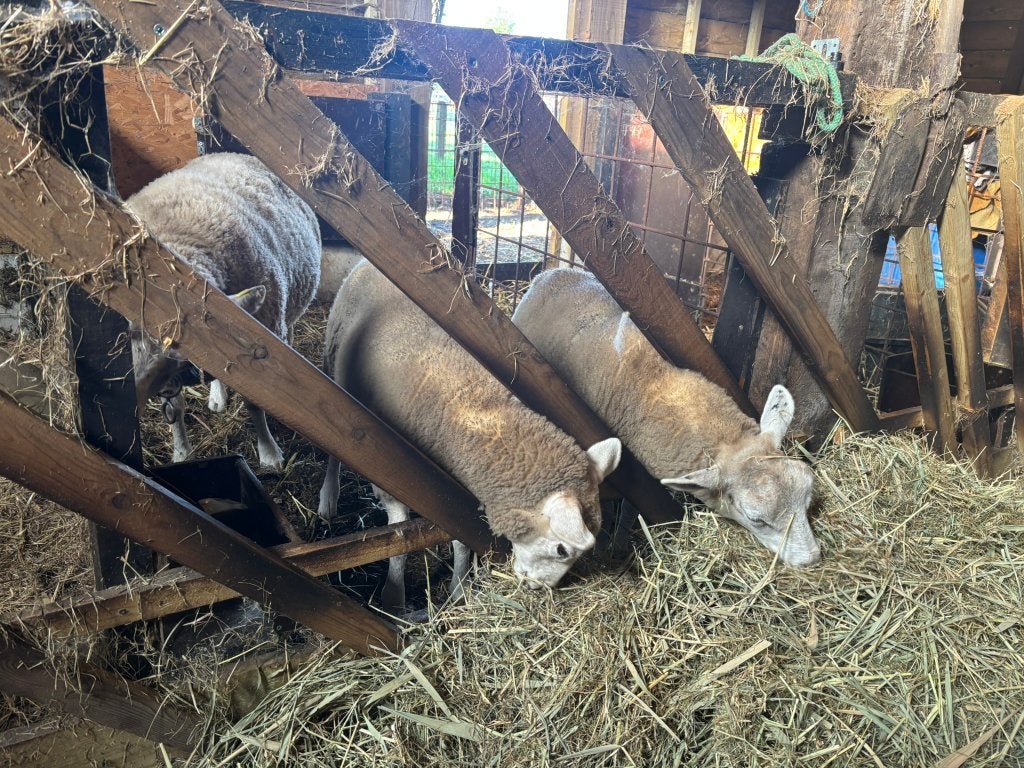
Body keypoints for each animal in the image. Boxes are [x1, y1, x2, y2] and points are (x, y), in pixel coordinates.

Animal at [126, 152, 321, 470]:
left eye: (173, 353)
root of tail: (234, 154)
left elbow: (255, 403)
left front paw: (269, 453)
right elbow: (176, 408)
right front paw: (181, 452)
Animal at [316, 259, 621, 614]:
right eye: (562, 550)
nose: (536, 588)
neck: (472, 403)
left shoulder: (458, 492)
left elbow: (460, 541)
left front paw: (459, 590)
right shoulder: (391, 469)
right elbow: (398, 536)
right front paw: (394, 596)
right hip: (337, 367)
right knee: (335, 444)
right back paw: (328, 498)